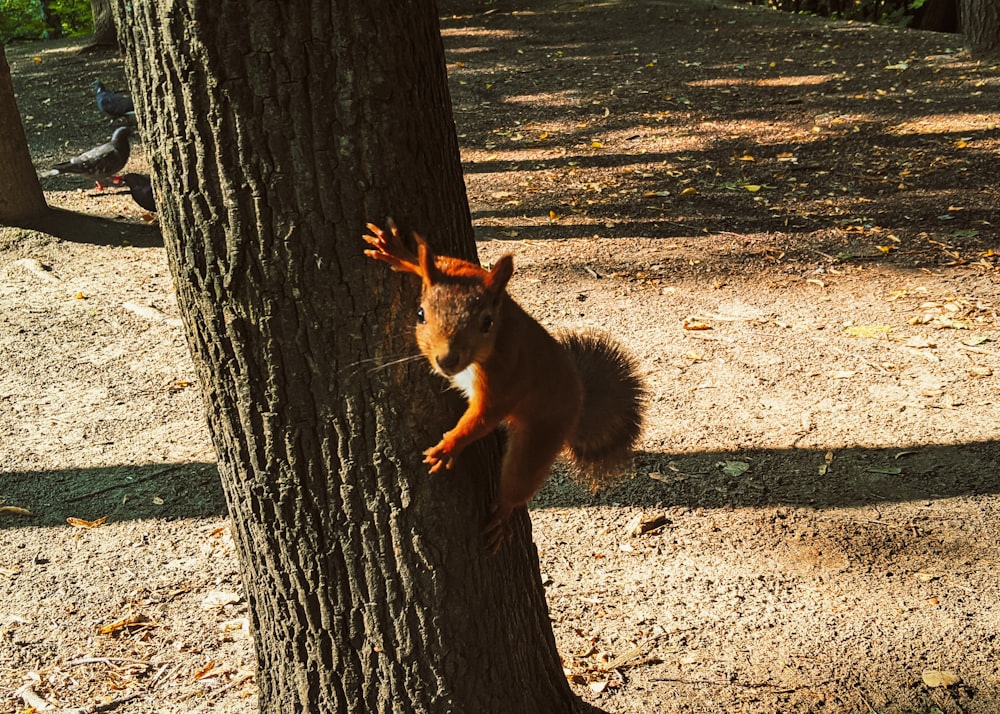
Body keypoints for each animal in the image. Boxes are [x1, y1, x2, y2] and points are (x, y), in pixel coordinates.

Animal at [364, 221, 644, 552]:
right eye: (420, 314)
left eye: (486, 323)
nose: (446, 360)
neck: (501, 330)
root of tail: (579, 404)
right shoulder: (467, 274)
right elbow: (447, 263)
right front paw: (398, 252)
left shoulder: (507, 375)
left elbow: (483, 417)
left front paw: (449, 446)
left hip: (540, 435)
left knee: (519, 478)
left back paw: (503, 515)